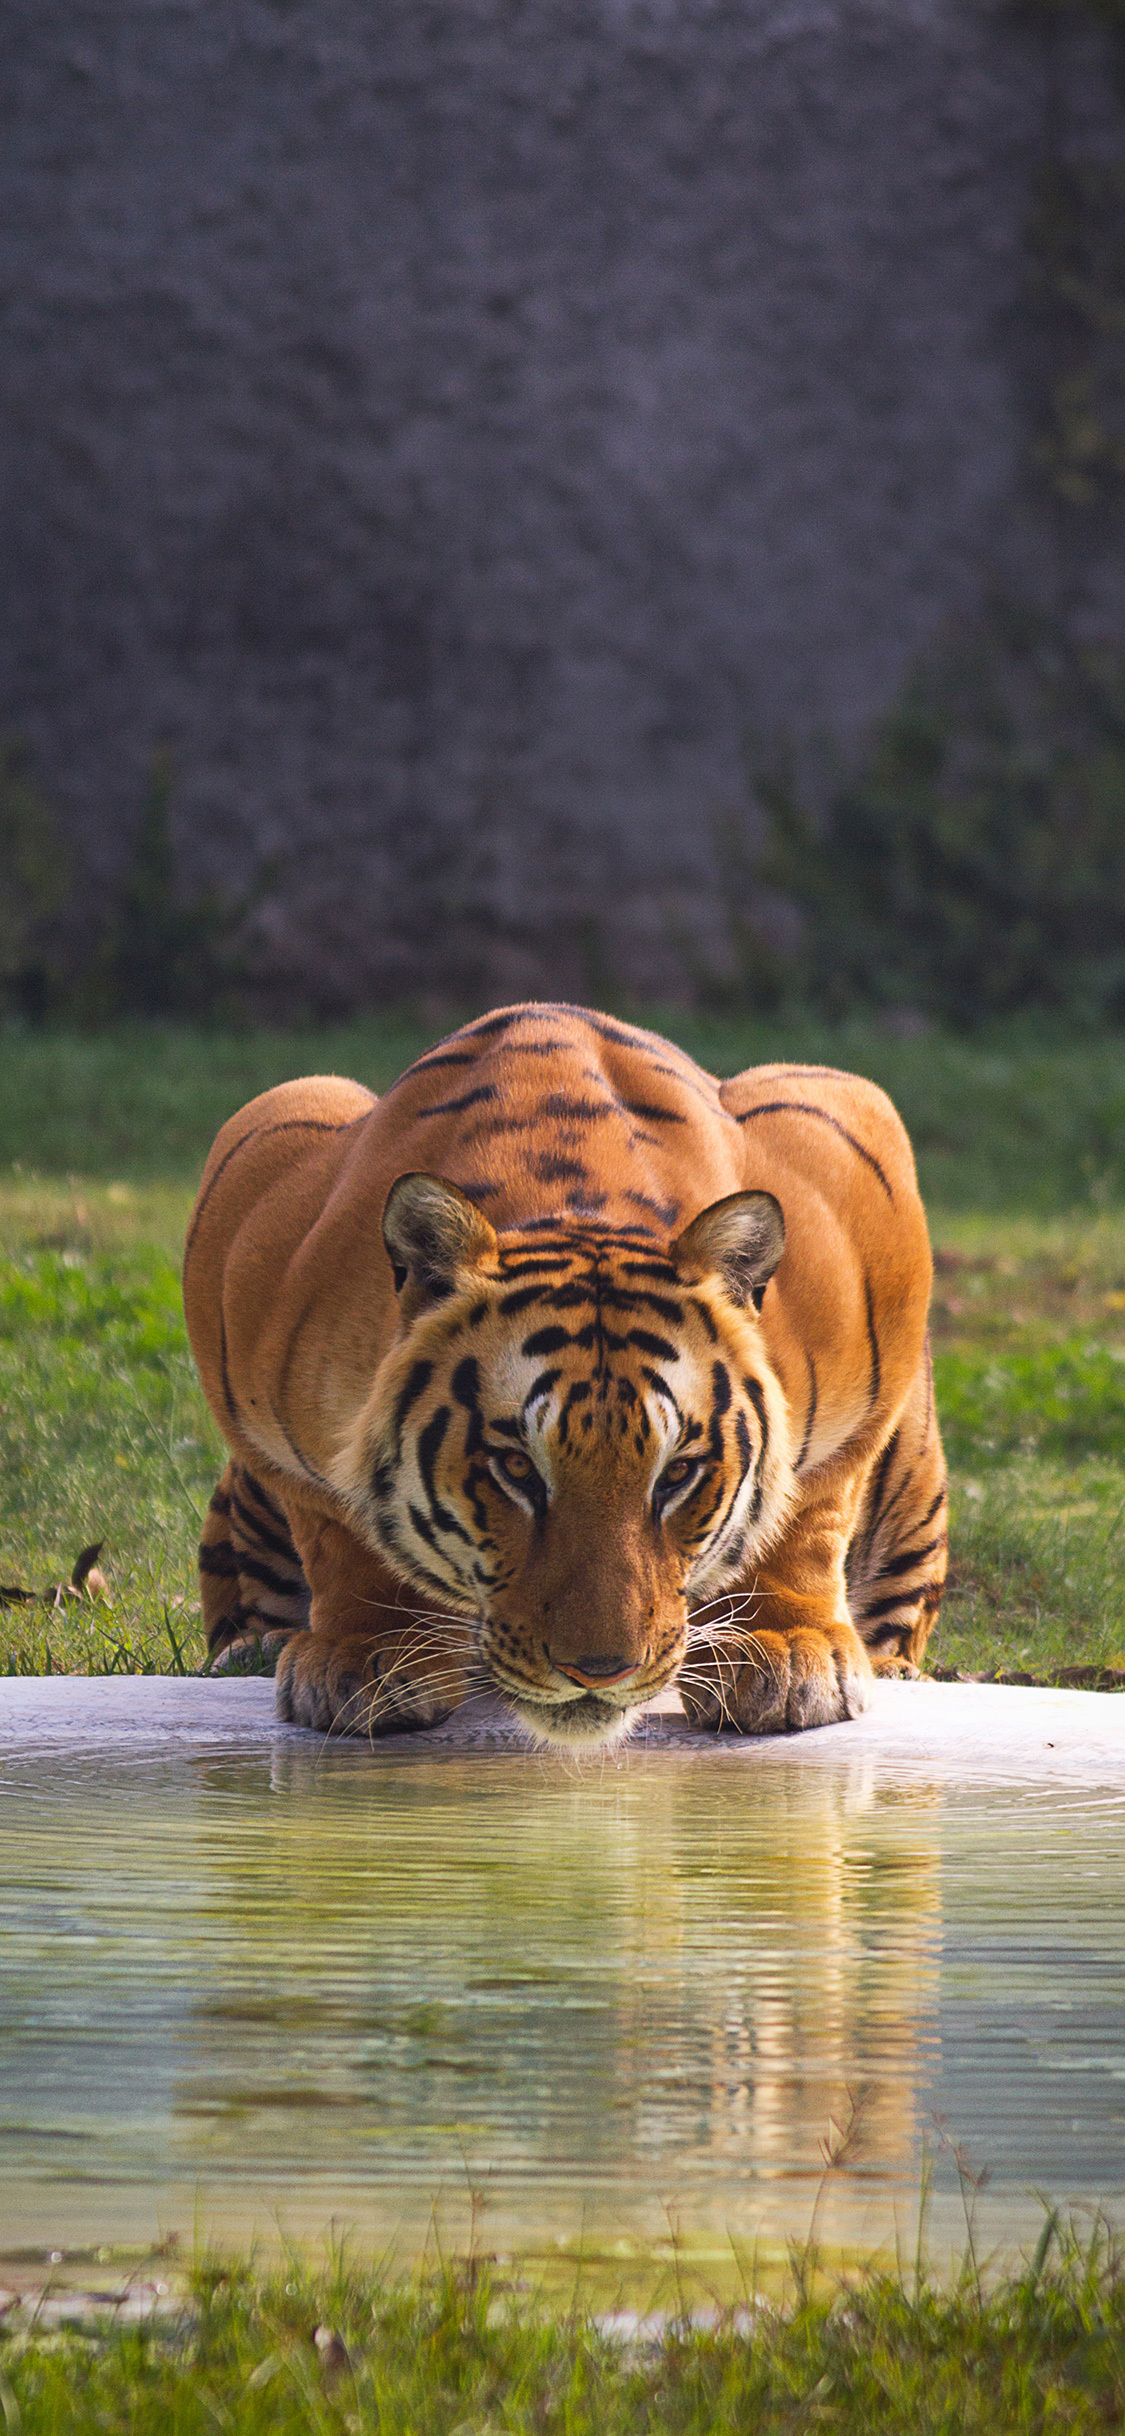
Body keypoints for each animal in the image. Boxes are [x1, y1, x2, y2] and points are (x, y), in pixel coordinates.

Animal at [180, 998, 944, 1744]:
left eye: (677, 1473)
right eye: (516, 1468)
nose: (599, 1672)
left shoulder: (856, 1165)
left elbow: (808, 1509)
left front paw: (785, 1651)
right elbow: (335, 1524)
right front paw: (367, 1654)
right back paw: (252, 1649)